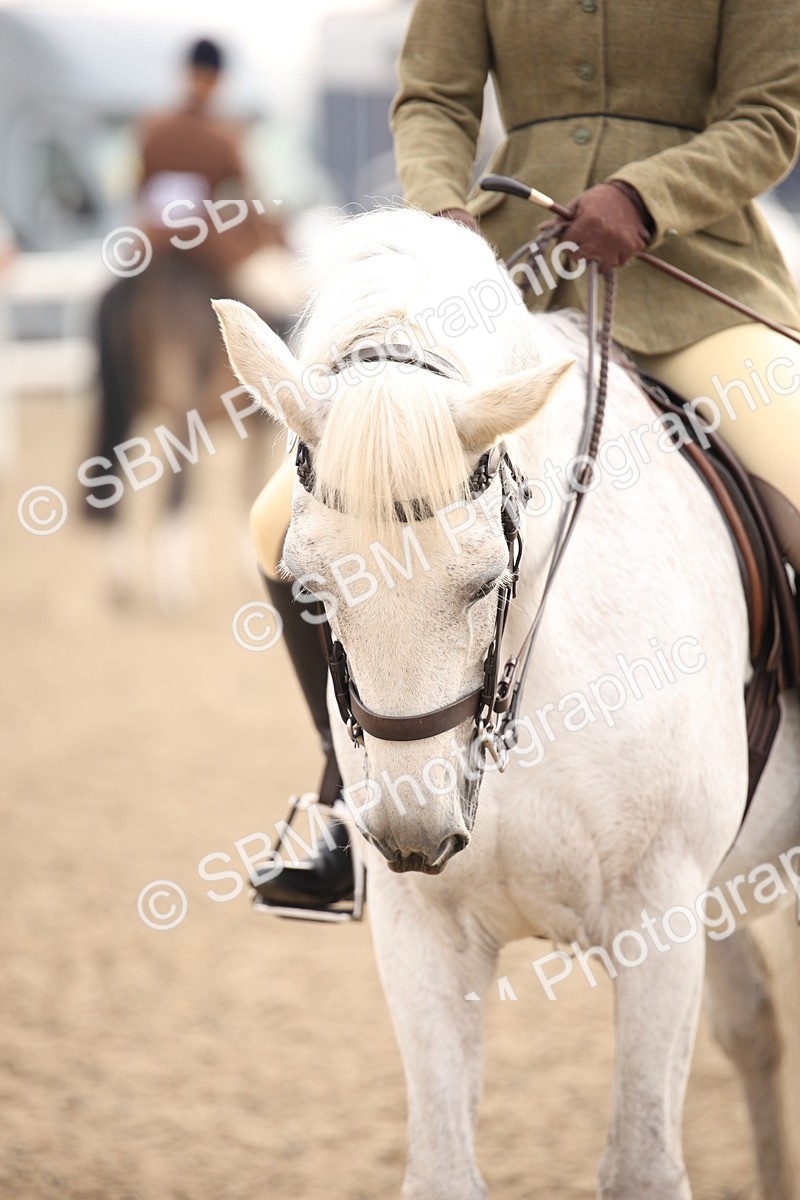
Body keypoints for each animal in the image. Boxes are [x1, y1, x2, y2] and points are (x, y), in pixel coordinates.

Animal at [214, 208, 800, 1200]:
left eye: (487, 581)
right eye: (307, 592)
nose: (414, 835)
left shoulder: (658, 920)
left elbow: (642, 1164)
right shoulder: (423, 933)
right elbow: (443, 1170)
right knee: (753, 1028)